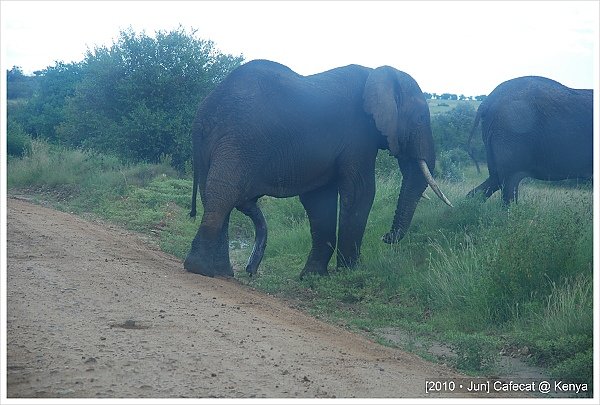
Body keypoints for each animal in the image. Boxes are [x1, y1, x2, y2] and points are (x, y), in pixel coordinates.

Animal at [183, 59, 450, 278]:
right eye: (420, 120)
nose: (386, 237)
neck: (376, 73)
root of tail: (206, 109)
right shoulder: (359, 135)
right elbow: (360, 192)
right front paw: (351, 272)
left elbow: (320, 200)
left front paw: (312, 277)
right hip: (240, 141)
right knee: (223, 194)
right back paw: (200, 269)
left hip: (213, 144)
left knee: (213, 195)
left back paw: (221, 273)